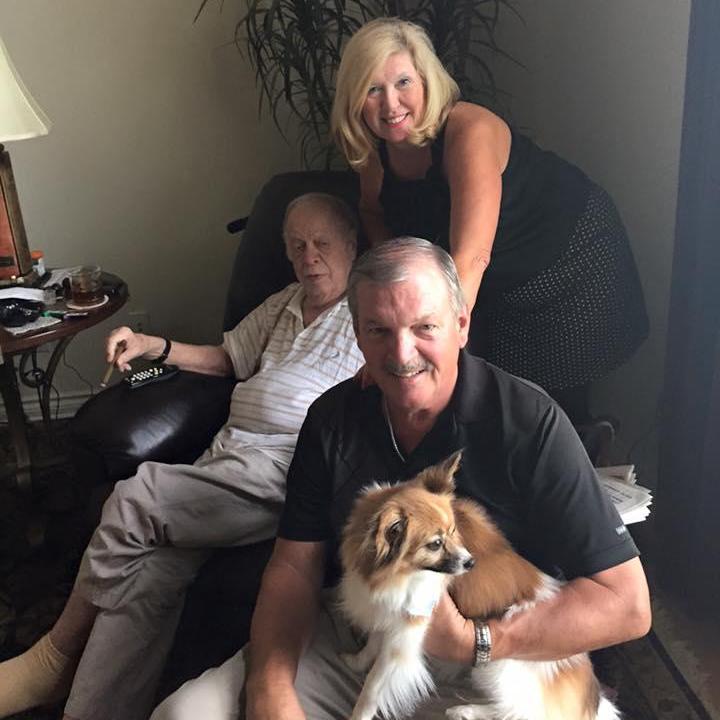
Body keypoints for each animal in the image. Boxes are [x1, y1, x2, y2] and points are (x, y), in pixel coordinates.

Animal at [340, 452, 620, 720]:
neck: (397, 573)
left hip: (499, 667)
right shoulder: (385, 612)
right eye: (435, 544)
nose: (470, 562)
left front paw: (358, 713)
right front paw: (356, 661)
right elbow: (373, 642)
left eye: (454, 531)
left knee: (519, 711)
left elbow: (372, 689)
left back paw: (465, 711)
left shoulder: (405, 635)